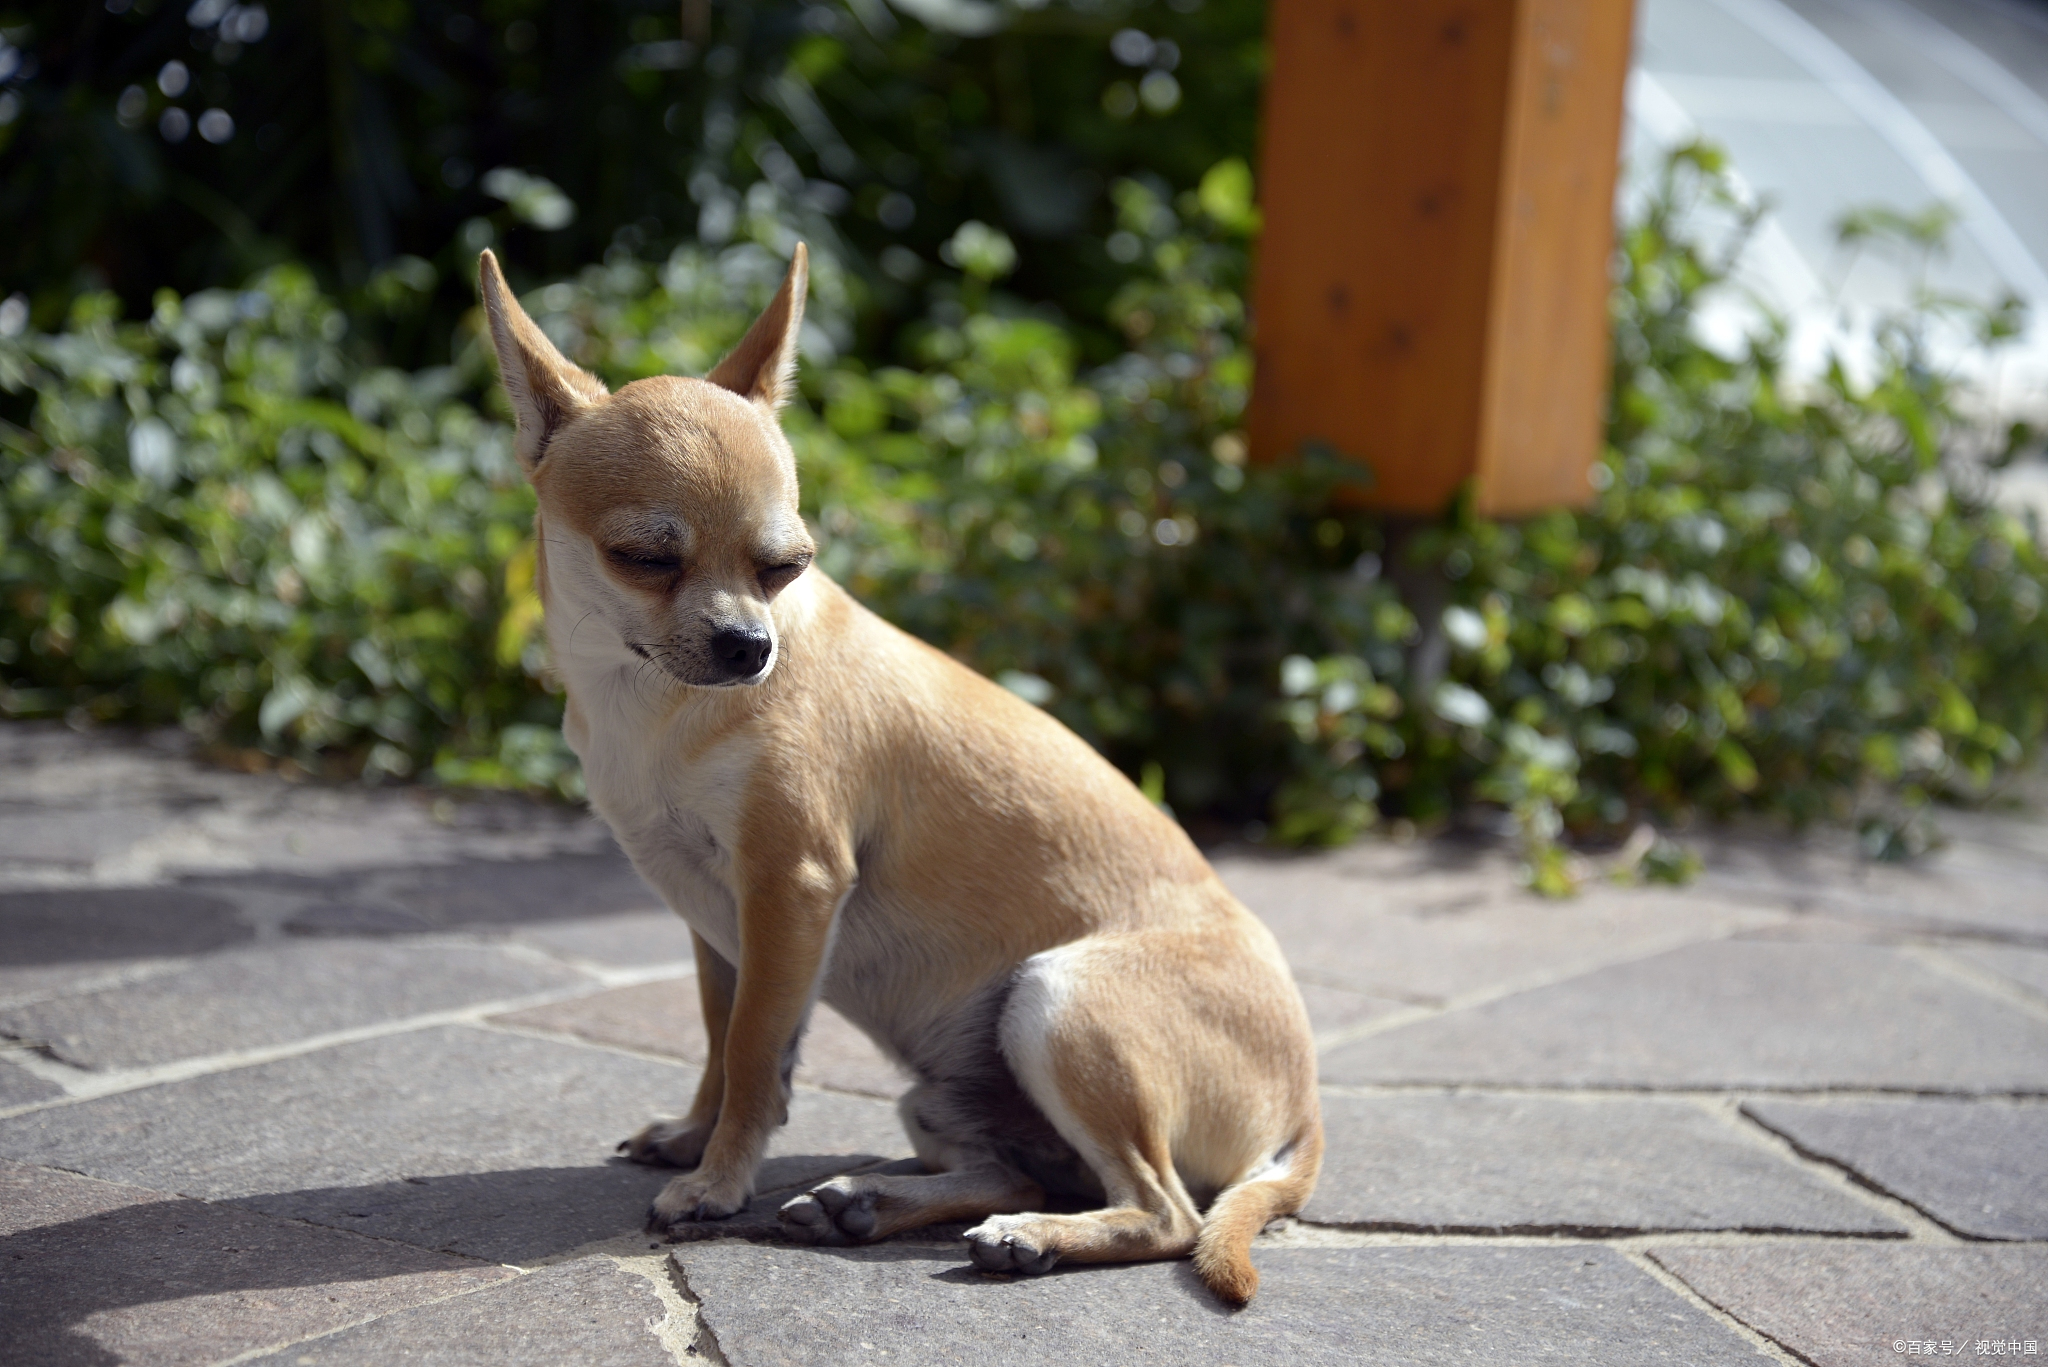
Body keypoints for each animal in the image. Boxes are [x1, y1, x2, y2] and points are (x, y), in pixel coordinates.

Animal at [477, 242, 1318, 1303]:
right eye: (644, 558)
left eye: (786, 567)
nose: (750, 646)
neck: (649, 704)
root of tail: (1304, 1105)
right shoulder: (714, 914)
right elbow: (721, 1034)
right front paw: (695, 1136)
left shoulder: (789, 888)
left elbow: (753, 1049)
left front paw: (717, 1181)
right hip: (945, 1095)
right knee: (1026, 1168)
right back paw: (870, 1204)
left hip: (1057, 1003)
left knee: (1164, 1210)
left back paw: (1029, 1237)